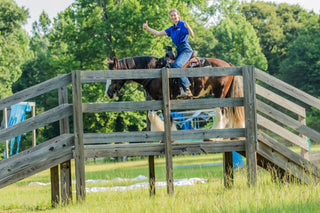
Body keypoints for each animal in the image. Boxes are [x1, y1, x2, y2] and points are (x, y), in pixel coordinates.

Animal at [106, 55, 244, 134]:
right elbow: (151, 115)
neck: (153, 71)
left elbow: (168, 119)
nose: (108, 93)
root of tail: (228, 64)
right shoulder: (157, 100)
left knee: (221, 112)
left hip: (219, 94)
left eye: (113, 75)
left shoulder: (162, 99)